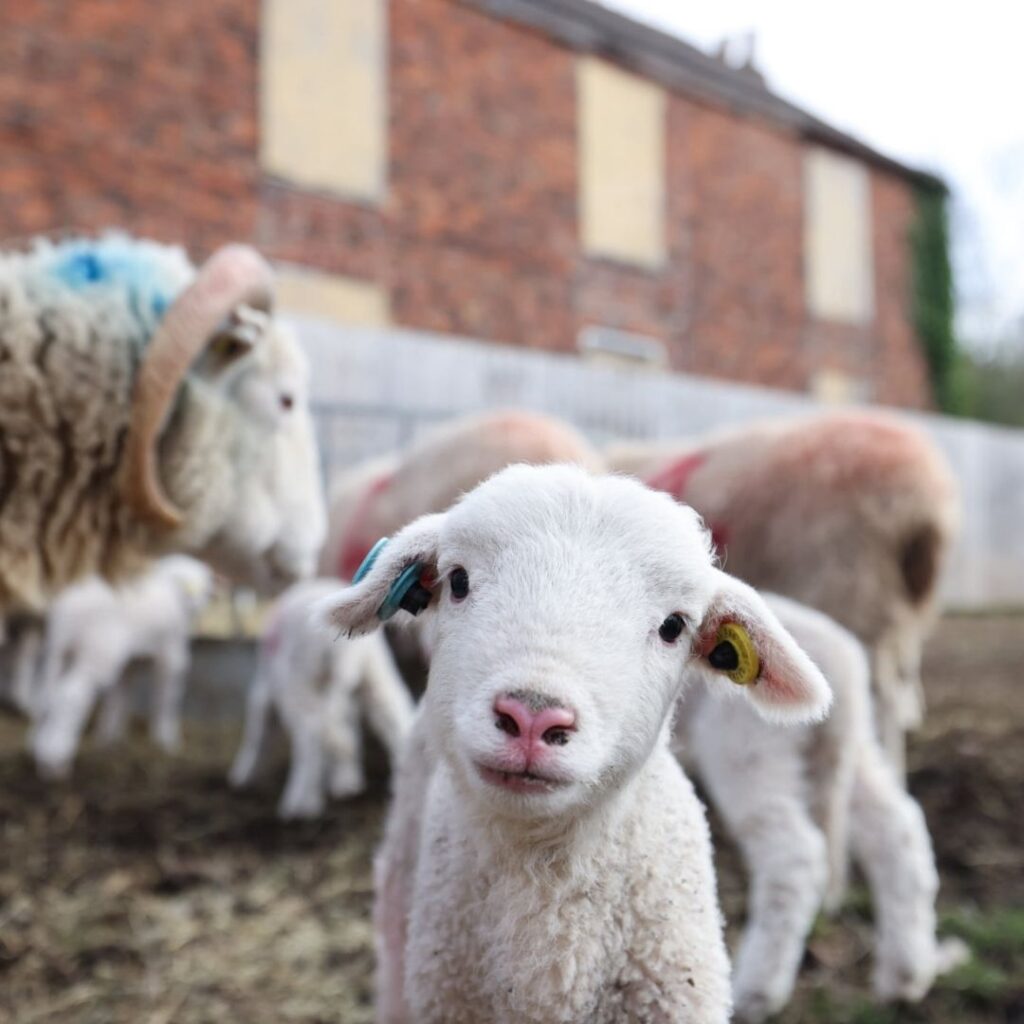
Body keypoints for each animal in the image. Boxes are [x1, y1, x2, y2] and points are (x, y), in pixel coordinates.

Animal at [30, 556, 213, 778]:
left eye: (206, 590)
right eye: (189, 588)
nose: (199, 603)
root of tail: (69, 609)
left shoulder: (129, 664)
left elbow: (120, 697)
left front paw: (111, 737)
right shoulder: (172, 654)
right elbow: (167, 698)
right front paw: (166, 739)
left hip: (58, 651)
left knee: (44, 696)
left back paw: (40, 753)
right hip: (99, 650)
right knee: (72, 695)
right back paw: (56, 759)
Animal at [229, 577, 416, 820]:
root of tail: (340, 649)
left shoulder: (265, 688)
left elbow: (258, 729)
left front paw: (243, 775)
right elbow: (346, 731)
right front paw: (343, 778)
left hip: (299, 681)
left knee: (310, 734)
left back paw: (301, 803)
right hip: (374, 670)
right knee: (392, 715)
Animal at [676, 594, 967, 1022]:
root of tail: (843, 668)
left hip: (748, 745)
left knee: (794, 856)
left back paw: (756, 991)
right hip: (849, 748)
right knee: (896, 828)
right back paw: (906, 975)